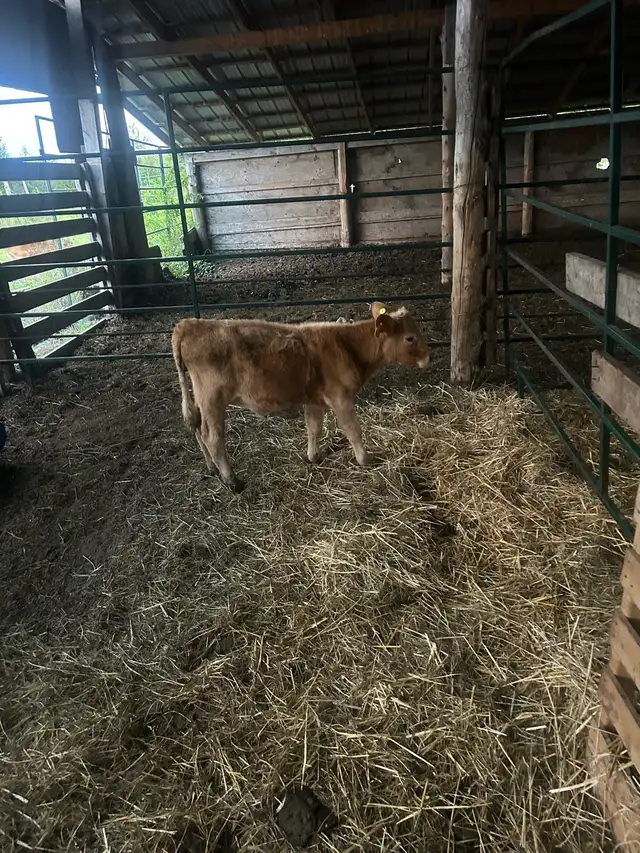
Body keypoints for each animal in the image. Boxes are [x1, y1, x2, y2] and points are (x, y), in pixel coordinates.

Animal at [171, 302, 430, 491]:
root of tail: (188, 324)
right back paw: (232, 480)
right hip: (212, 397)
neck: (345, 345)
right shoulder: (341, 397)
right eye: (410, 337)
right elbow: (352, 430)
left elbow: (313, 427)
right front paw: (365, 459)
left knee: (198, 428)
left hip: (201, 399)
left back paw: (212, 468)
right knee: (212, 436)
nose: (428, 358)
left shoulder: (315, 399)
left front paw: (314, 456)